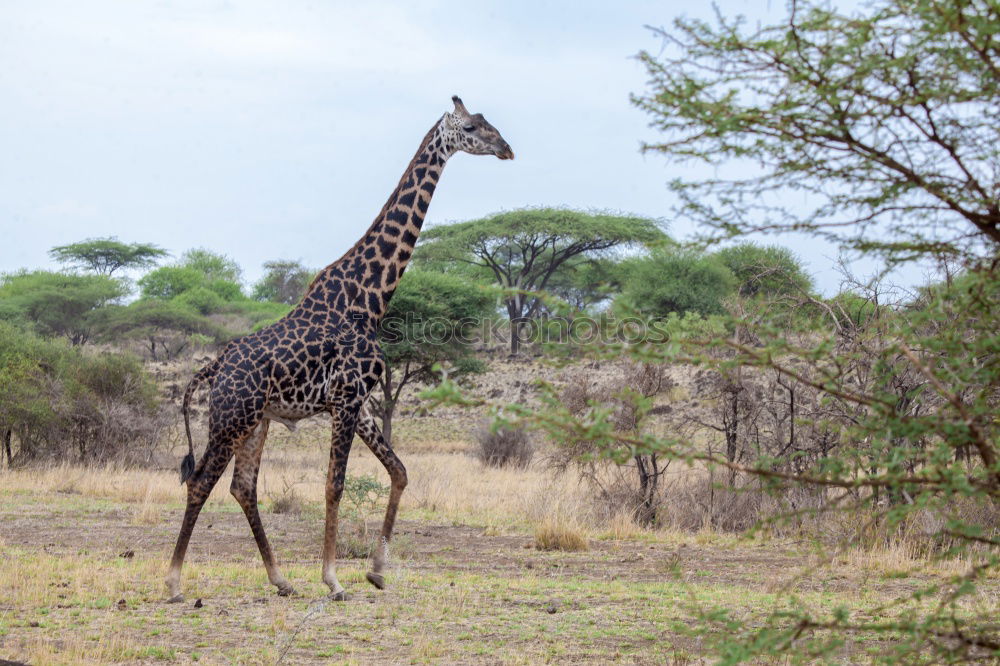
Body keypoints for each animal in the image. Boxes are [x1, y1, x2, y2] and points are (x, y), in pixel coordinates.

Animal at [165, 97, 516, 600]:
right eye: (470, 128)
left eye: (488, 123)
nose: (506, 148)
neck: (370, 298)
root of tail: (214, 367)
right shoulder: (347, 398)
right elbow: (335, 485)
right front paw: (333, 580)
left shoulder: (360, 402)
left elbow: (399, 471)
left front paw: (377, 570)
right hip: (232, 417)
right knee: (200, 482)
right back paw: (175, 581)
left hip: (256, 421)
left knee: (242, 487)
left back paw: (281, 579)